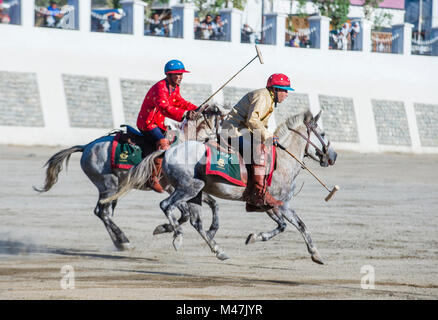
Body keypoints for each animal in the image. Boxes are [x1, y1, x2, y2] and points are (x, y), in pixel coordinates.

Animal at [33, 106, 222, 251]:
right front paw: (164, 229)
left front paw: (210, 231)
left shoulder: (191, 188)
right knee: (102, 212)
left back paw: (119, 242)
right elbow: (185, 213)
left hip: (113, 189)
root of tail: (86, 146)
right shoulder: (174, 188)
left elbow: (211, 203)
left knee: (103, 213)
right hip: (108, 186)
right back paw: (123, 240)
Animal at [104, 111, 338, 264]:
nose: (333, 156)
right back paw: (177, 236)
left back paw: (217, 249)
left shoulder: (274, 205)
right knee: (166, 206)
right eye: (324, 133)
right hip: (190, 187)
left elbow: (295, 225)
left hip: (195, 193)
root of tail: (168, 150)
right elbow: (290, 226)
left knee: (196, 222)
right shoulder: (278, 204)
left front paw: (315, 253)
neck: (282, 160)